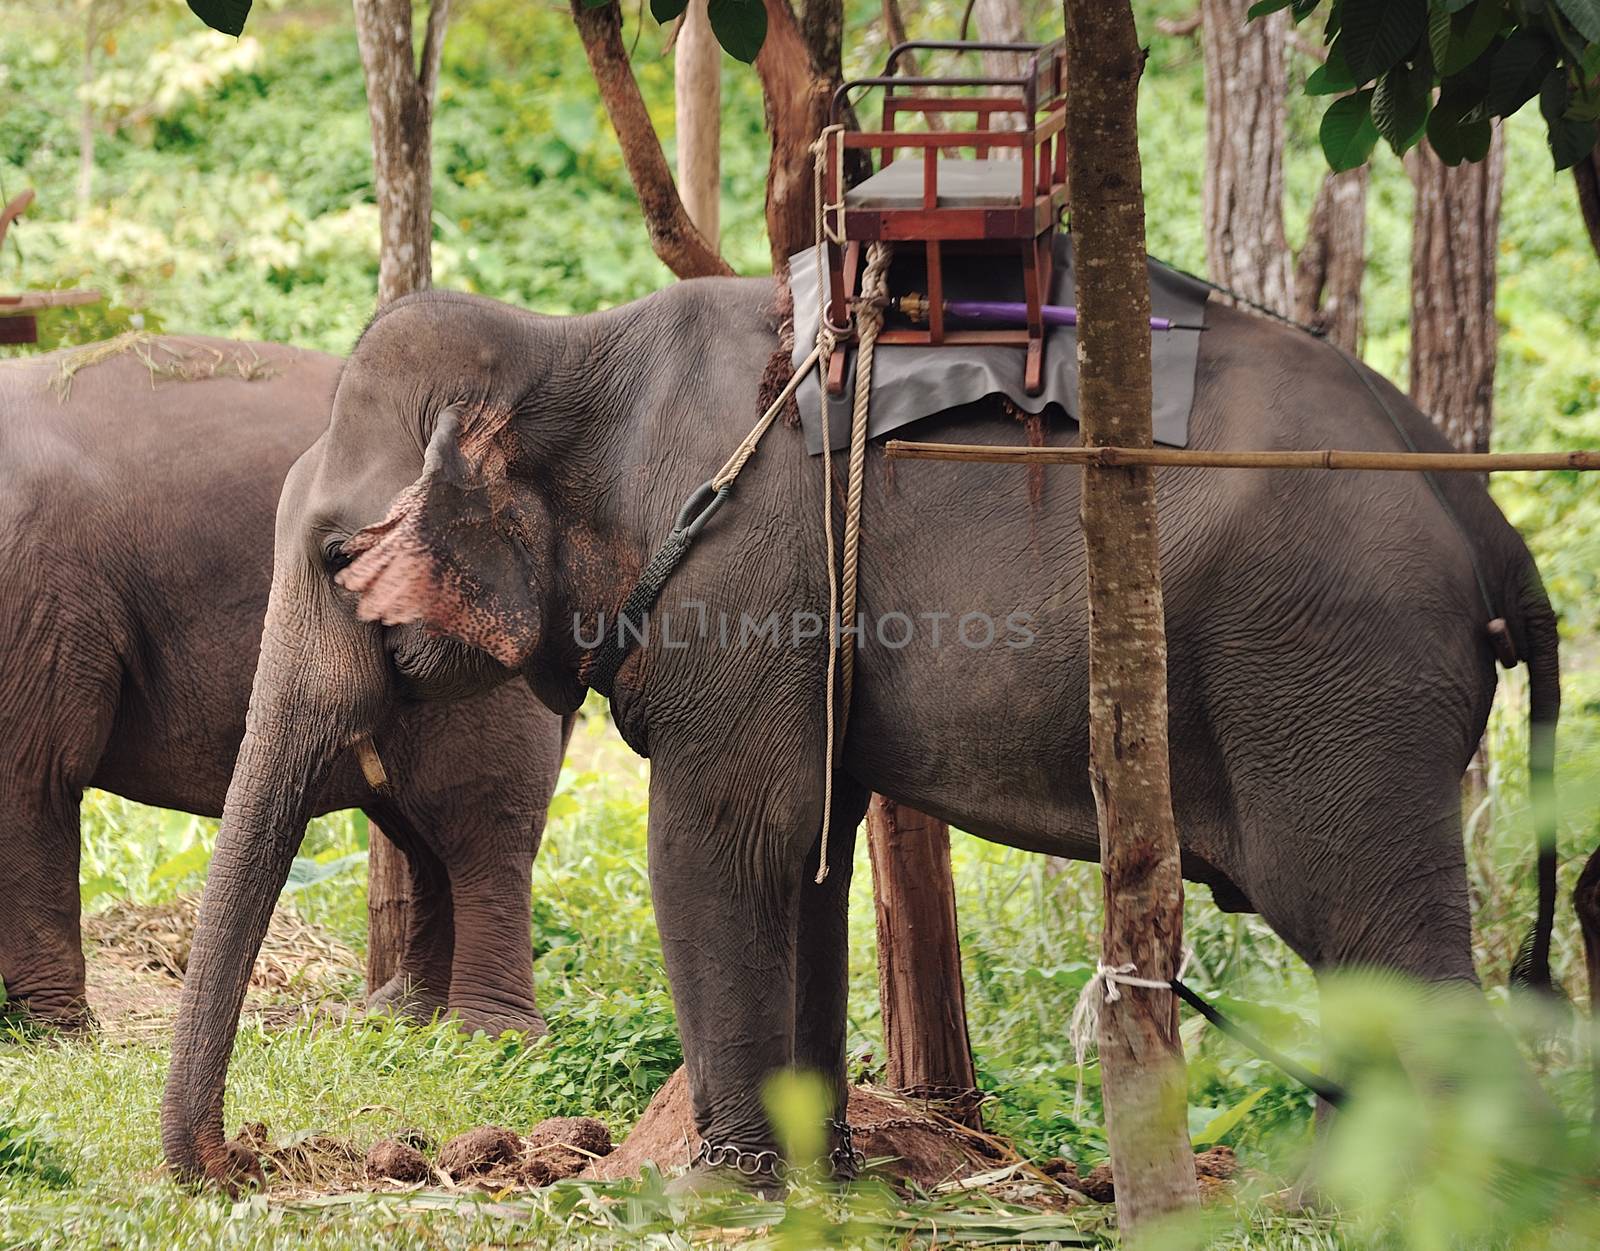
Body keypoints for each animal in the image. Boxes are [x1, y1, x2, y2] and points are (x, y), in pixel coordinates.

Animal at [0, 335, 569, 1036]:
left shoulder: (36, 602)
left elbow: (33, 776)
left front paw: (54, 1032)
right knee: (422, 834)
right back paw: (403, 1018)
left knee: (481, 825)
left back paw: (489, 1034)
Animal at [159, 286, 1561, 1196]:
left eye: (334, 557)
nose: (236, 1170)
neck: (574, 347)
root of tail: (1492, 526)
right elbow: (809, 856)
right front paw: (824, 1180)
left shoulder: (742, 582)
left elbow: (722, 846)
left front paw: (705, 1198)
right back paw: (1318, 1201)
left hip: (1339, 684)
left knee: (1379, 936)